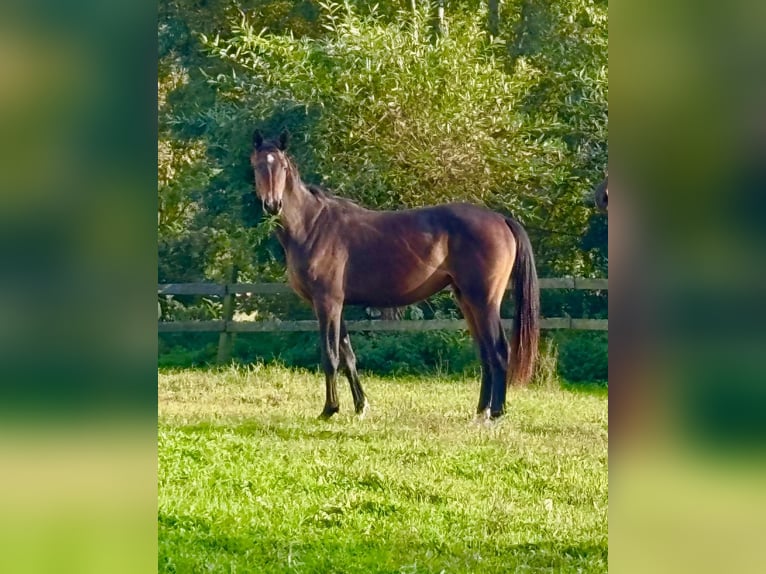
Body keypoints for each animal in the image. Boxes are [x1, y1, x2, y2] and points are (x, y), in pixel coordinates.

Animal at [250, 130, 540, 420]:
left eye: (282, 167)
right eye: (258, 166)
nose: (273, 205)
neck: (312, 225)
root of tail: (501, 219)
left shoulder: (326, 303)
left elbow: (330, 356)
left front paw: (330, 409)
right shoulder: (337, 305)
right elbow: (348, 356)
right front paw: (361, 406)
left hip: (484, 300)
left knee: (499, 351)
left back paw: (496, 413)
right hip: (467, 300)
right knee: (485, 353)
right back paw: (480, 413)